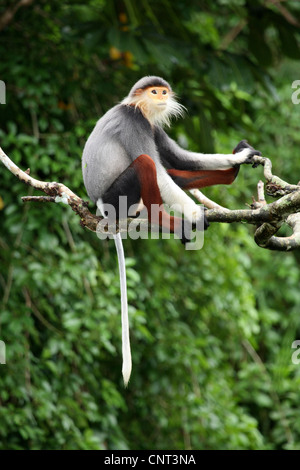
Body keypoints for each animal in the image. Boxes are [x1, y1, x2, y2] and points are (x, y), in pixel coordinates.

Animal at [81, 76, 260, 386]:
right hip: (117, 198)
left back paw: (227, 177)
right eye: (154, 92)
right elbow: (161, 173)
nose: (162, 97)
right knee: (146, 163)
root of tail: (102, 210)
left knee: (172, 171)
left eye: (164, 92)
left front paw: (238, 159)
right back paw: (170, 221)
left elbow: (183, 159)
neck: (140, 108)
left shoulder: (153, 126)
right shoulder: (136, 123)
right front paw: (195, 216)